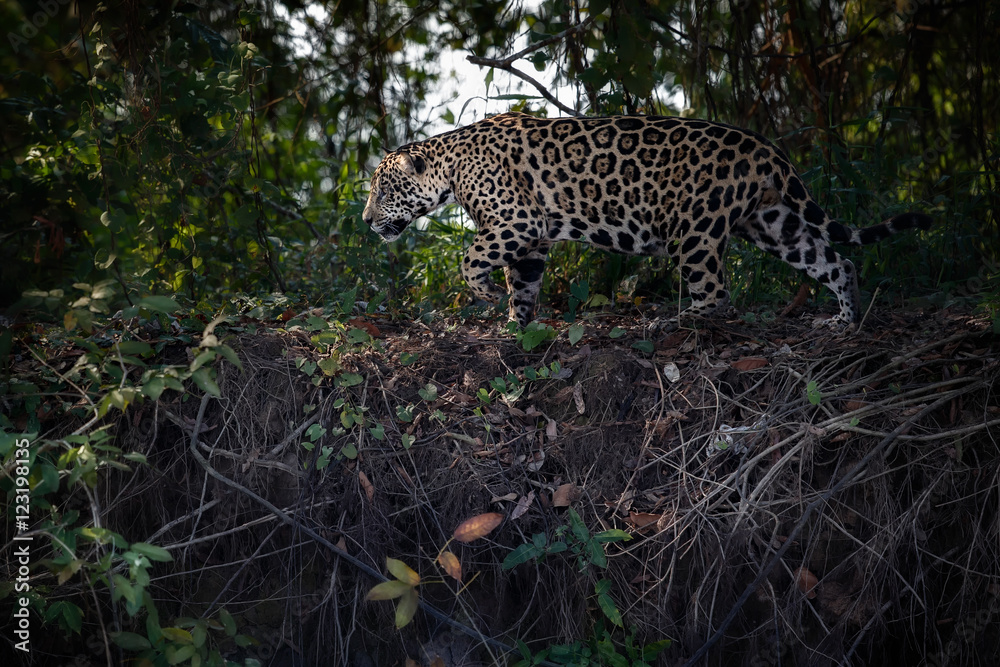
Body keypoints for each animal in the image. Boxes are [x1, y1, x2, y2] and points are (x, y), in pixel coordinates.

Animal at [362, 111, 931, 330]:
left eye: (382, 189)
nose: (367, 221)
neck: (450, 164)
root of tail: (764, 146)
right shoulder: (532, 239)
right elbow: (521, 283)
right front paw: (516, 326)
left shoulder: (518, 222)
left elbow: (471, 255)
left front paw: (480, 293)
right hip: (774, 223)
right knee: (835, 261)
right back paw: (845, 318)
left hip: (694, 233)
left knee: (716, 295)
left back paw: (675, 321)